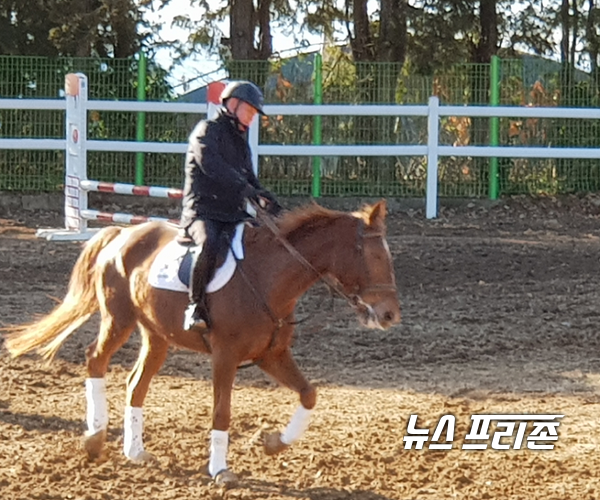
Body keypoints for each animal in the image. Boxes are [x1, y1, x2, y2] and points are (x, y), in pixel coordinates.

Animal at [4, 200, 400, 488]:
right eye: (373, 257)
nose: (390, 315)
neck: (270, 277)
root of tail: (121, 233)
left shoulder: (271, 354)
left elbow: (309, 394)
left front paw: (274, 443)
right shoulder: (225, 356)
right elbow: (221, 412)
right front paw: (220, 470)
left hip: (156, 336)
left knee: (136, 384)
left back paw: (134, 451)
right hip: (119, 320)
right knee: (96, 360)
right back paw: (95, 438)